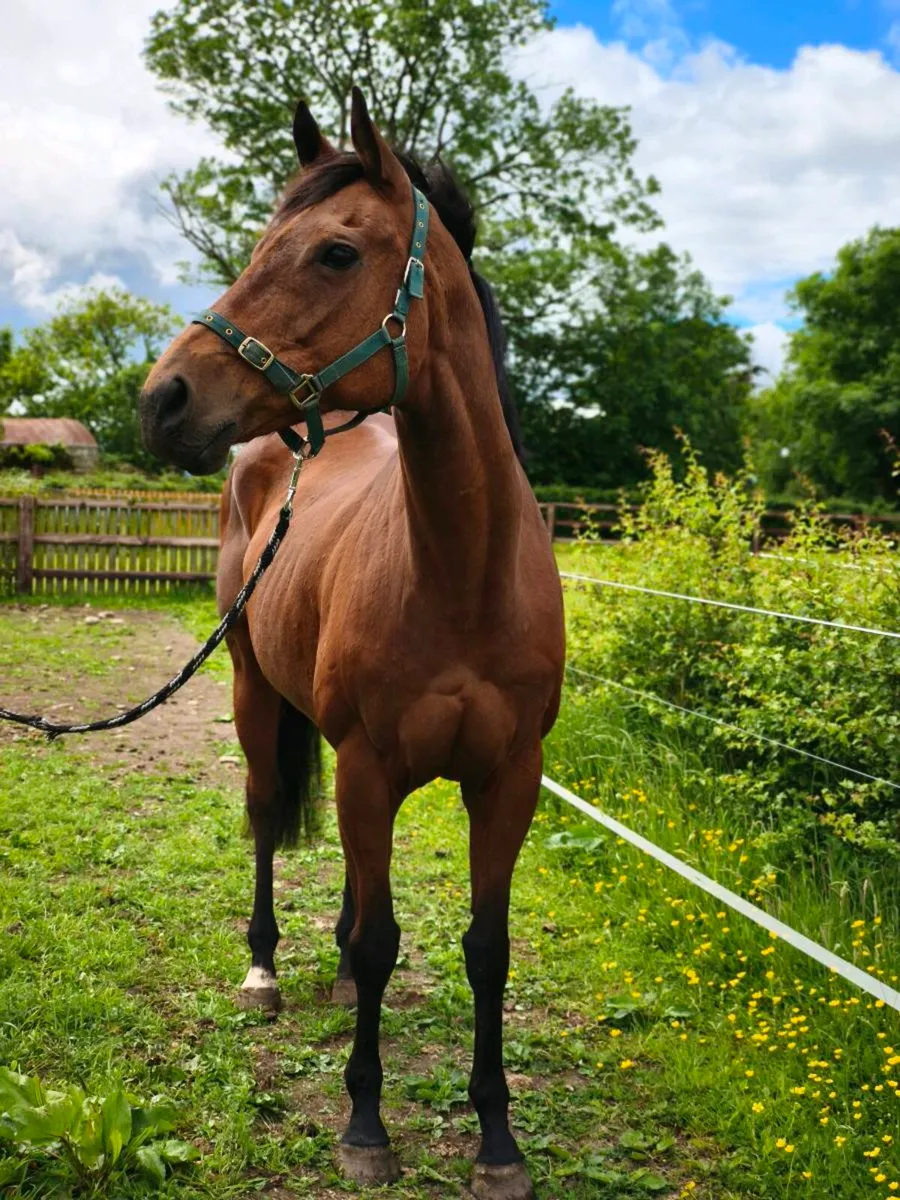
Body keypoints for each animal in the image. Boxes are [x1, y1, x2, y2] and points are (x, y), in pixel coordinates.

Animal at [140, 87, 565, 1200]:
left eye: (334, 252)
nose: (162, 399)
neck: (460, 573)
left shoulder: (508, 778)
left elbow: (485, 948)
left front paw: (497, 1141)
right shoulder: (371, 766)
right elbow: (382, 943)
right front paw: (366, 1126)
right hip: (253, 692)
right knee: (261, 815)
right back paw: (266, 970)